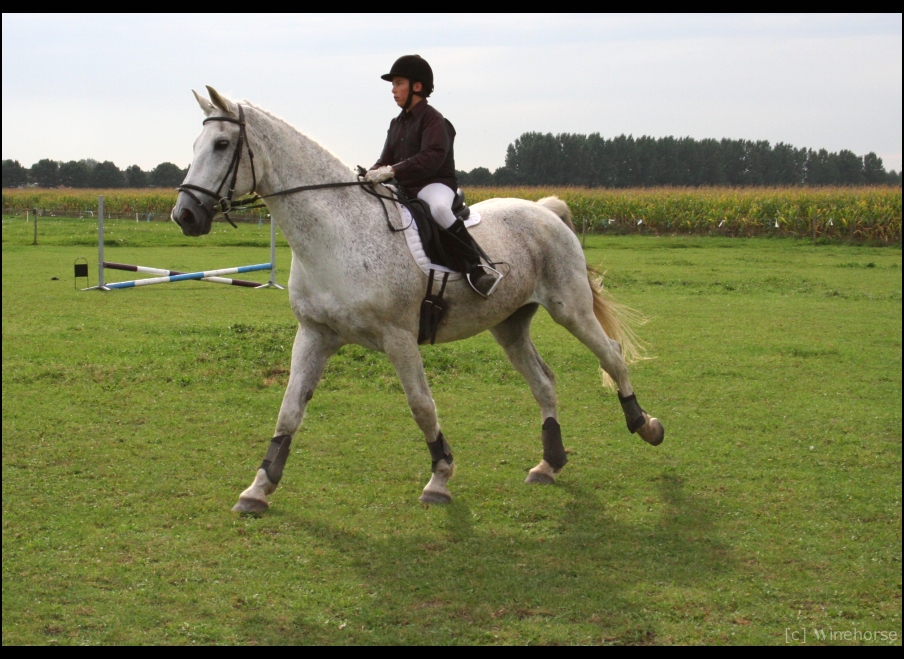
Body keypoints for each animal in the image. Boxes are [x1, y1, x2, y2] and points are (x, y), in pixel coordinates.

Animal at [173, 85, 664, 512]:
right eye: (196, 143)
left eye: (221, 144)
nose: (185, 215)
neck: (337, 233)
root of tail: (545, 210)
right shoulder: (314, 334)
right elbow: (289, 412)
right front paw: (258, 489)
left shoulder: (399, 338)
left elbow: (422, 407)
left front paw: (440, 478)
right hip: (509, 325)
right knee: (544, 381)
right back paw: (550, 463)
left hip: (570, 310)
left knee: (612, 356)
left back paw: (645, 425)